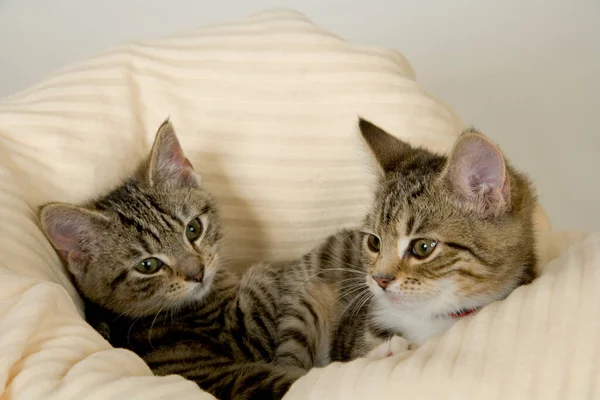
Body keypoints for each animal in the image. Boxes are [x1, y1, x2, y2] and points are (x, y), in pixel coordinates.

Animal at [38, 121, 304, 400]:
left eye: (193, 229)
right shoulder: (243, 336)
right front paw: (273, 270)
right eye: (148, 266)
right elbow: (262, 283)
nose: (197, 273)